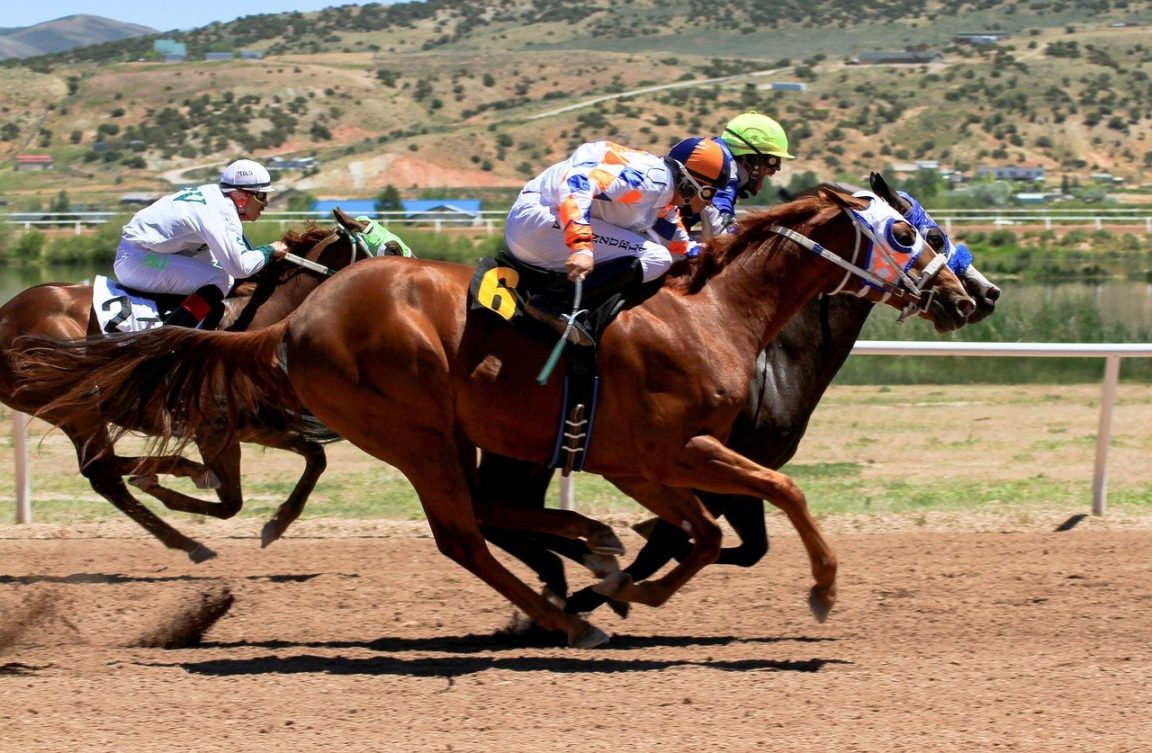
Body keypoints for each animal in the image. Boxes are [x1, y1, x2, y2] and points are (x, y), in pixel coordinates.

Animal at [0, 210, 374, 562]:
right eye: (382, 246)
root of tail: (6, 313)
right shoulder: (213, 430)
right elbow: (231, 501)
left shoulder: (253, 426)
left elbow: (315, 457)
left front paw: (277, 523)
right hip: (78, 407)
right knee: (102, 470)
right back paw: (180, 488)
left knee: (105, 473)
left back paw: (181, 519)